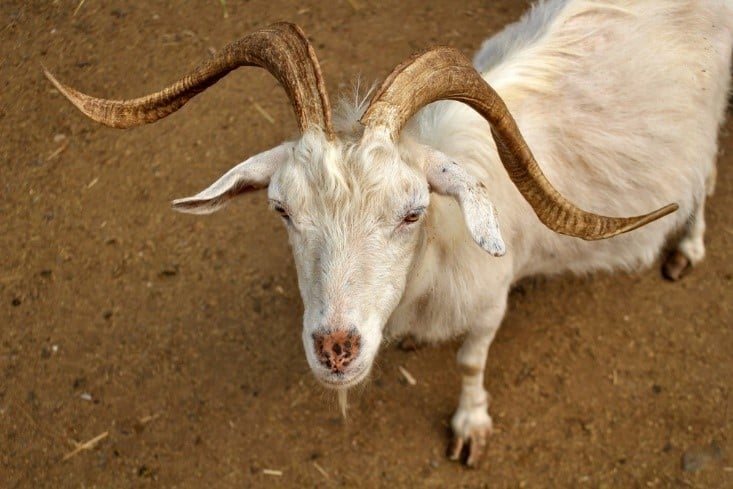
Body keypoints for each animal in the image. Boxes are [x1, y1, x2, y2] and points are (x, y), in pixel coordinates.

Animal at [45, 0, 732, 467]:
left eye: (412, 211)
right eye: (282, 210)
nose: (336, 350)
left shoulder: (490, 302)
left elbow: (471, 360)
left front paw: (470, 428)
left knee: (704, 173)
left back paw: (687, 246)